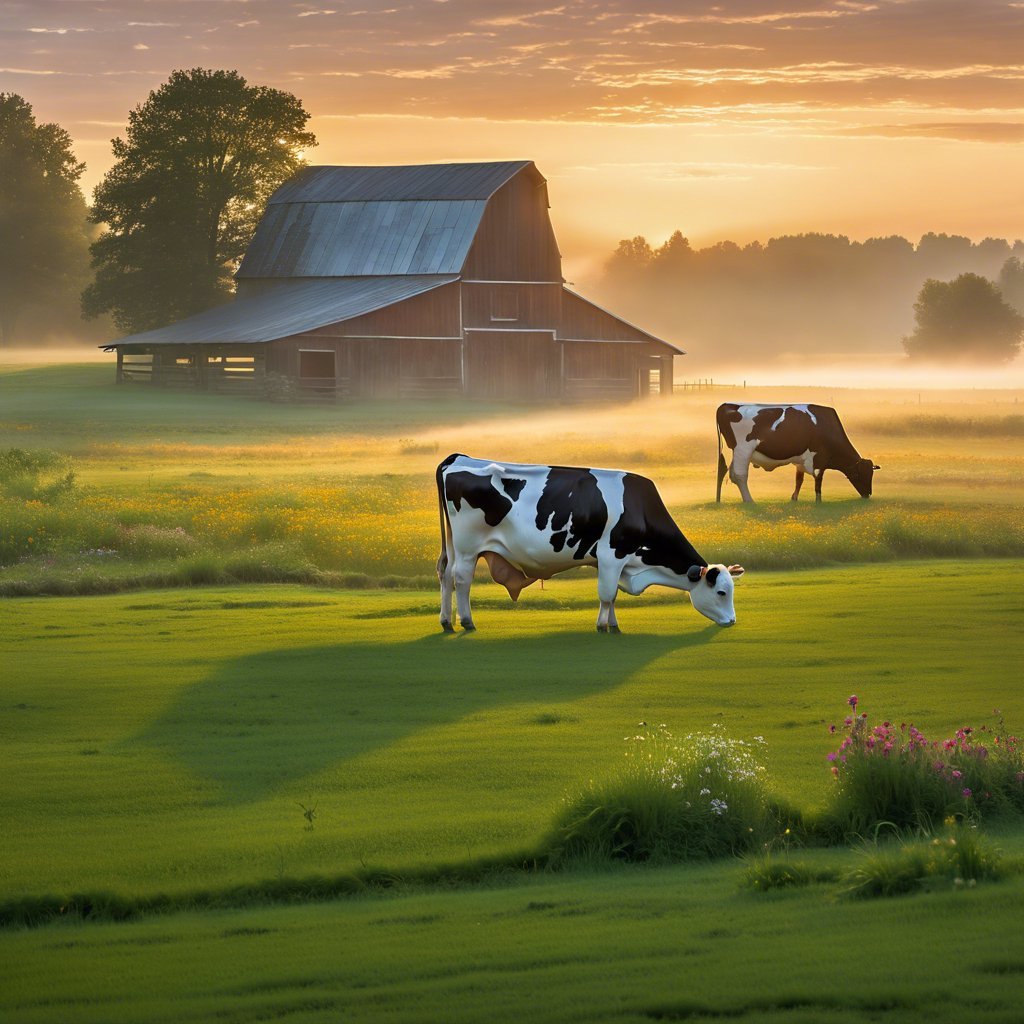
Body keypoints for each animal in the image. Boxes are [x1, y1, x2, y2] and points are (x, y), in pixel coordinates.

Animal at [434, 454, 745, 630]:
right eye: (721, 592)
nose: (732, 621)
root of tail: (458, 458)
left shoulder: (614, 563)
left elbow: (612, 595)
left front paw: (614, 625)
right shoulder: (612, 555)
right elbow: (607, 594)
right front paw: (602, 626)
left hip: (453, 546)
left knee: (446, 575)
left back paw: (447, 621)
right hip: (467, 547)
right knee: (461, 579)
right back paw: (467, 622)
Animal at [716, 401, 876, 501]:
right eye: (862, 475)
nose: (868, 494)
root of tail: (728, 404)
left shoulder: (801, 459)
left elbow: (799, 479)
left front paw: (794, 498)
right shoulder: (819, 459)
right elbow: (818, 482)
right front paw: (818, 501)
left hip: (734, 452)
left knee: (728, 473)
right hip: (743, 450)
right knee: (740, 475)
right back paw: (749, 501)